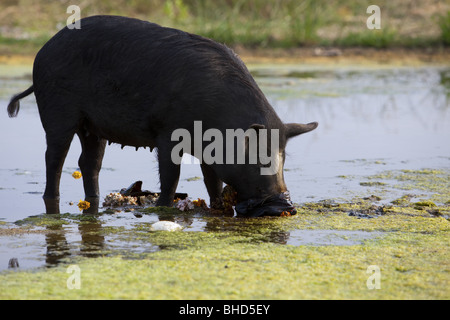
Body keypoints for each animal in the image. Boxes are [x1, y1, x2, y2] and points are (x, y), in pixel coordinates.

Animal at [7, 15, 316, 215]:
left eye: (283, 159)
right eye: (258, 159)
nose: (286, 206)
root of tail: (42, 51)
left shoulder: (207, 148)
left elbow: (212, 178)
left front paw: (217, 205)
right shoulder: (167, 132)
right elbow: (171, 174)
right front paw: (164, 207)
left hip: (92, 126)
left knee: (89, 162)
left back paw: (92, 198)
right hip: (57, 111)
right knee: (54, 158)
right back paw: (53, 199)